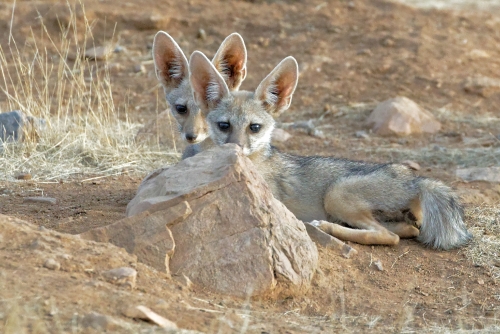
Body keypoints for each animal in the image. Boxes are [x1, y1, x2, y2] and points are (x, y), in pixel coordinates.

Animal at [188, 51, 472, 249]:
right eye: (224, 125)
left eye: (254, 127)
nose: (235, 147)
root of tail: (415, 179)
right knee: (406, 230)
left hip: (336, 194)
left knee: (388, 236)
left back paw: (326, 227)